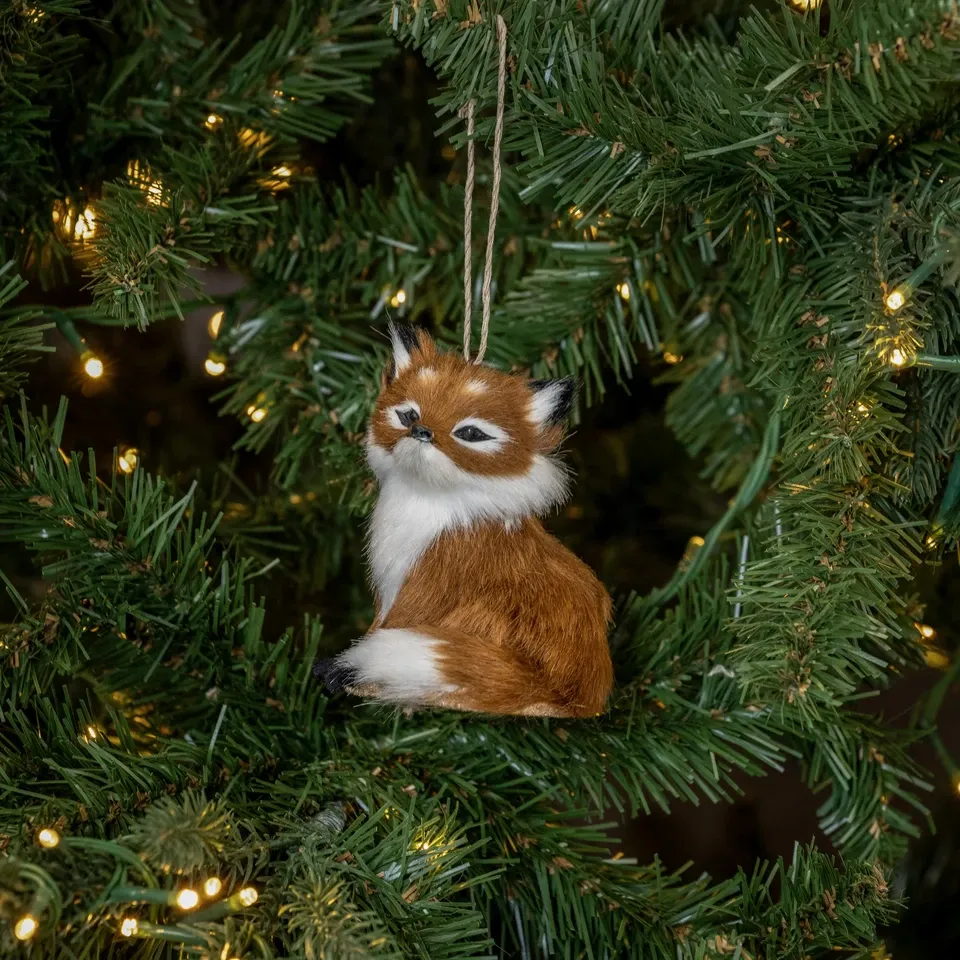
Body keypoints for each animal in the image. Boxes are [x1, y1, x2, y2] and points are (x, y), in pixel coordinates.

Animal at [314, 323, 613, 718]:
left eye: (470, 434)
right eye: (408, 415)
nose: (421, 431)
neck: (426, 504)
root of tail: (586, 693)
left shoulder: (429, 584)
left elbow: (388, 630)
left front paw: (352, 677)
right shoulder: (389, 590)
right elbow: (376, 626)